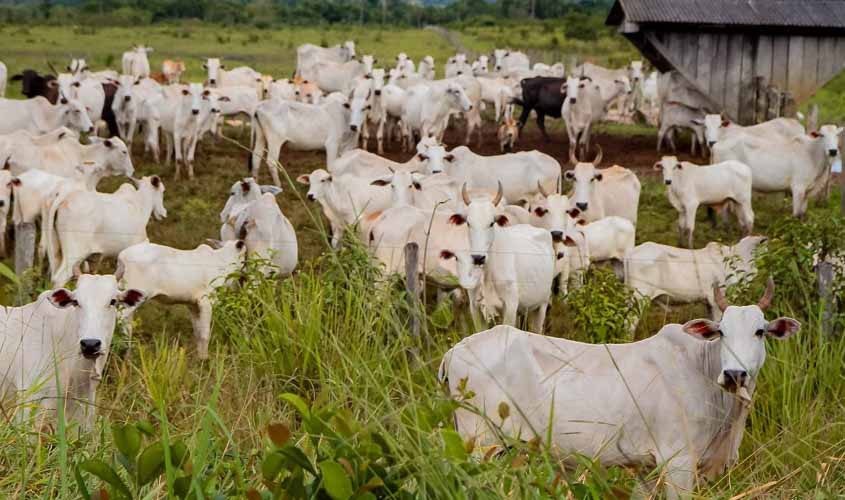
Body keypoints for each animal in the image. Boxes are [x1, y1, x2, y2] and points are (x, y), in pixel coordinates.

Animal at [117, 239, 246, 360]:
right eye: (244, 257)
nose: (244, 274)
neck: (223, 262)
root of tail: (122, 257)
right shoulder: (206, 302)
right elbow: (205, 334)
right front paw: (205, 359)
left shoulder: (193, 305)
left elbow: (198, 333)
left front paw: (200, 358)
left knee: (127, 324)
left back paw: (127, 355)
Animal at [708, 125, 840, 217]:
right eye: (822, 135)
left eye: (837, 135)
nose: (833, 151)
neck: (812, 154)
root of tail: (717, 145)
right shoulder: (798, 188)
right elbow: (796, 214)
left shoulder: (807, 192)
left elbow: (802, 213)